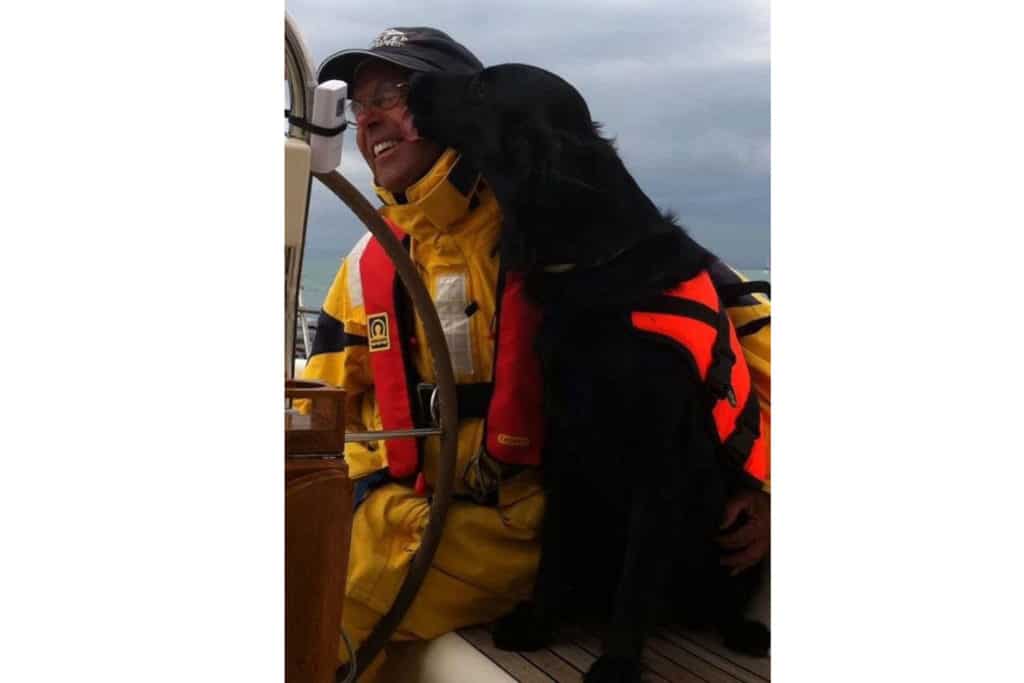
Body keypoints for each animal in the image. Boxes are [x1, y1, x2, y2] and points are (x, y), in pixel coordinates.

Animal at [407, 65, 770, 683]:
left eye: (480, 87)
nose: (412, 85)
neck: (594, 261)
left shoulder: (659, 463)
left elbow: (635, 581)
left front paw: (618, 662)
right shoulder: (567, 443)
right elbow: (555, 552)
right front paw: (537, 626)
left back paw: (741, 629)